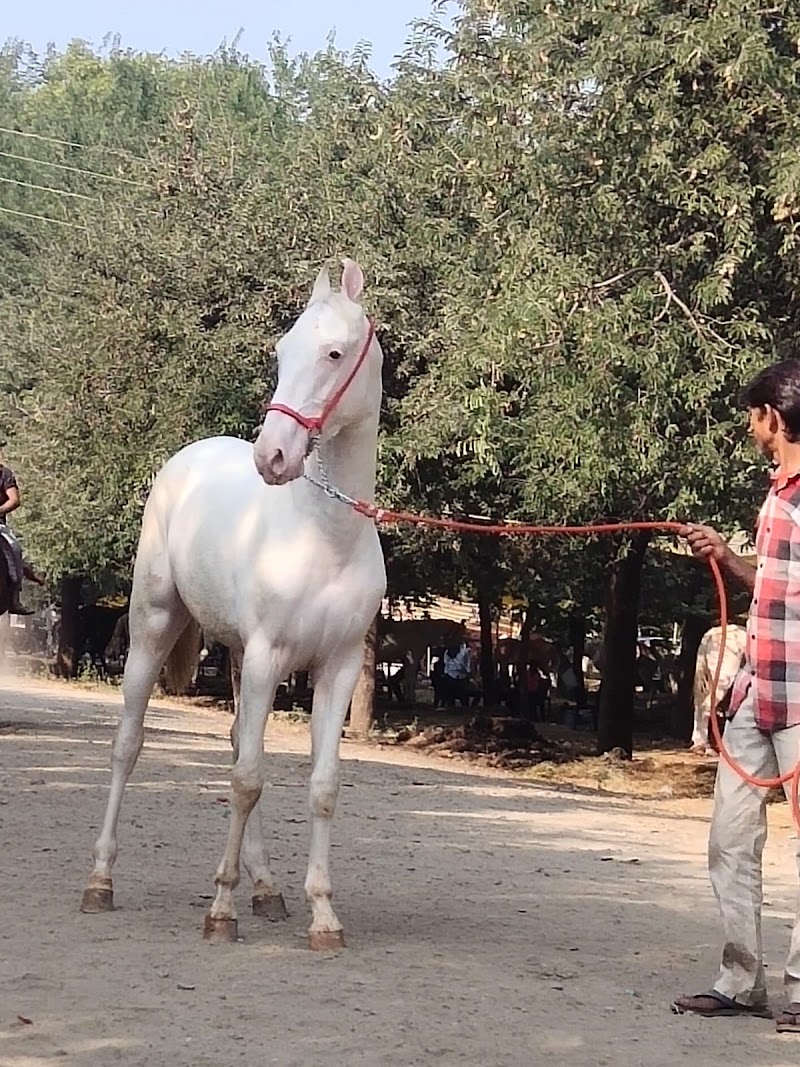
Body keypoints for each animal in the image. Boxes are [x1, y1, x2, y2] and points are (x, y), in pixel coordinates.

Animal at [80, 259, 386, 951]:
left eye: (333, 352)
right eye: (281, 351)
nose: (272, 456)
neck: (325, 538)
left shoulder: (337, 668)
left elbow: (320, 786)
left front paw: (322, 916)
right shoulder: (272, 656)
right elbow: (247, 780)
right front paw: (221, 909)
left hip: (243, 659)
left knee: (234, 744)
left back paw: (267, 889)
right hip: (154, 628)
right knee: (128, 743)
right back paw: (100, 881)